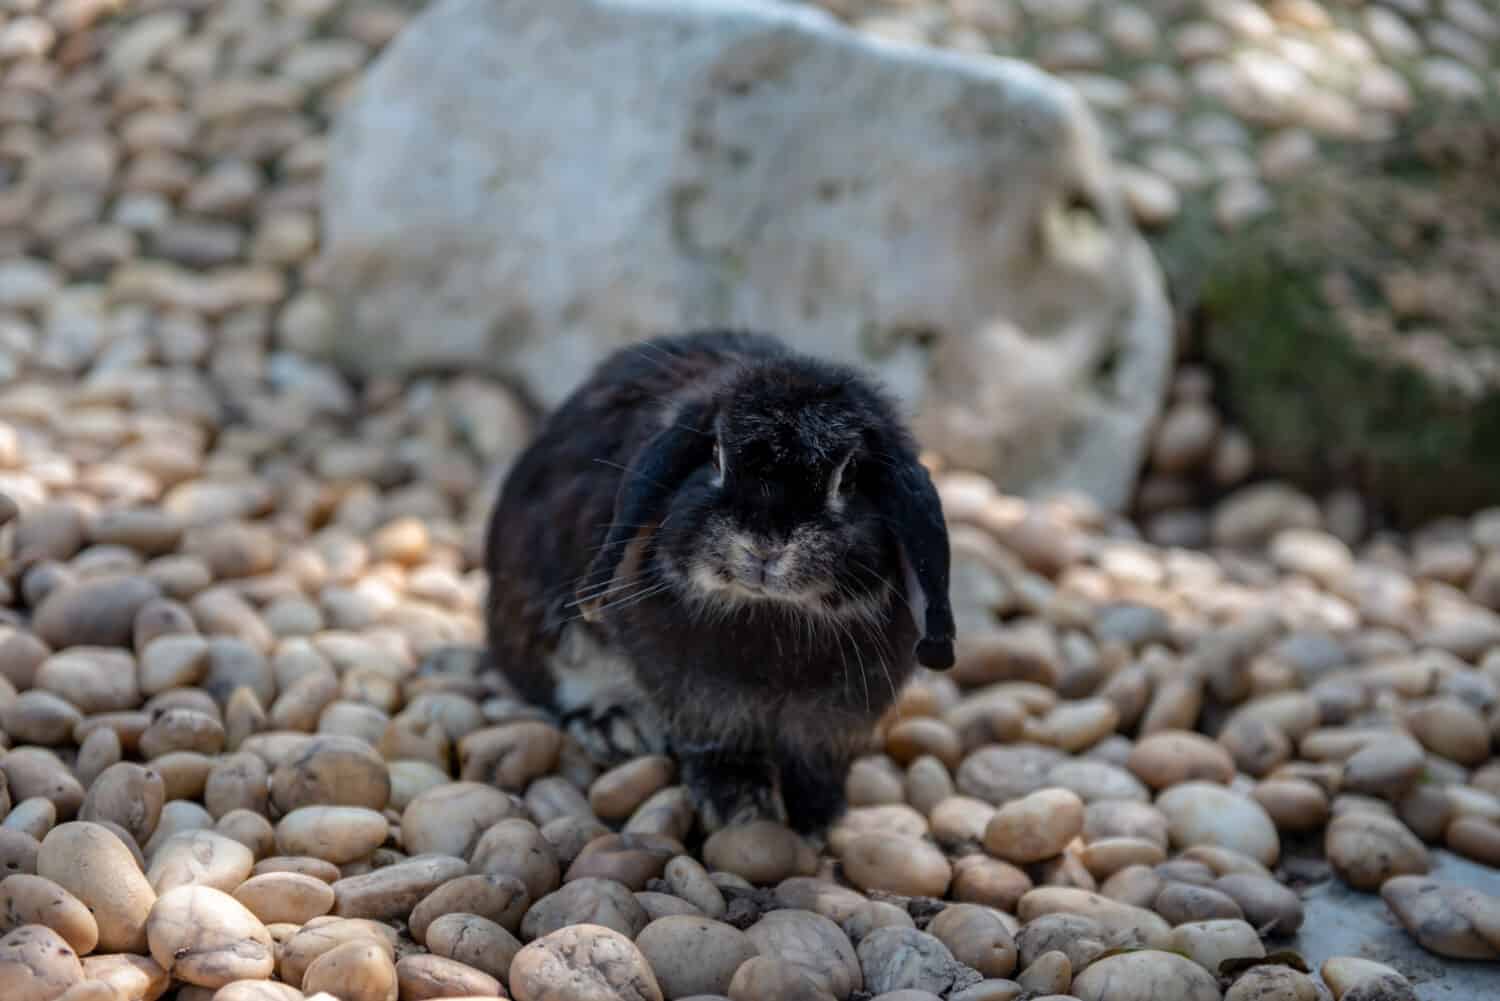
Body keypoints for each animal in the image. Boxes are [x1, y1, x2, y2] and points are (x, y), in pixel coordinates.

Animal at [483, 333, 948, 834]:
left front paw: (817, 814)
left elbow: (815, 757)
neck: (771, 613)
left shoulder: (838, 713)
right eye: (715, 456)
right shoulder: (700, 698)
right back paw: (615, 728)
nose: (765, 544)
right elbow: (719, 743)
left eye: (850, 477)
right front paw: (741, 807)